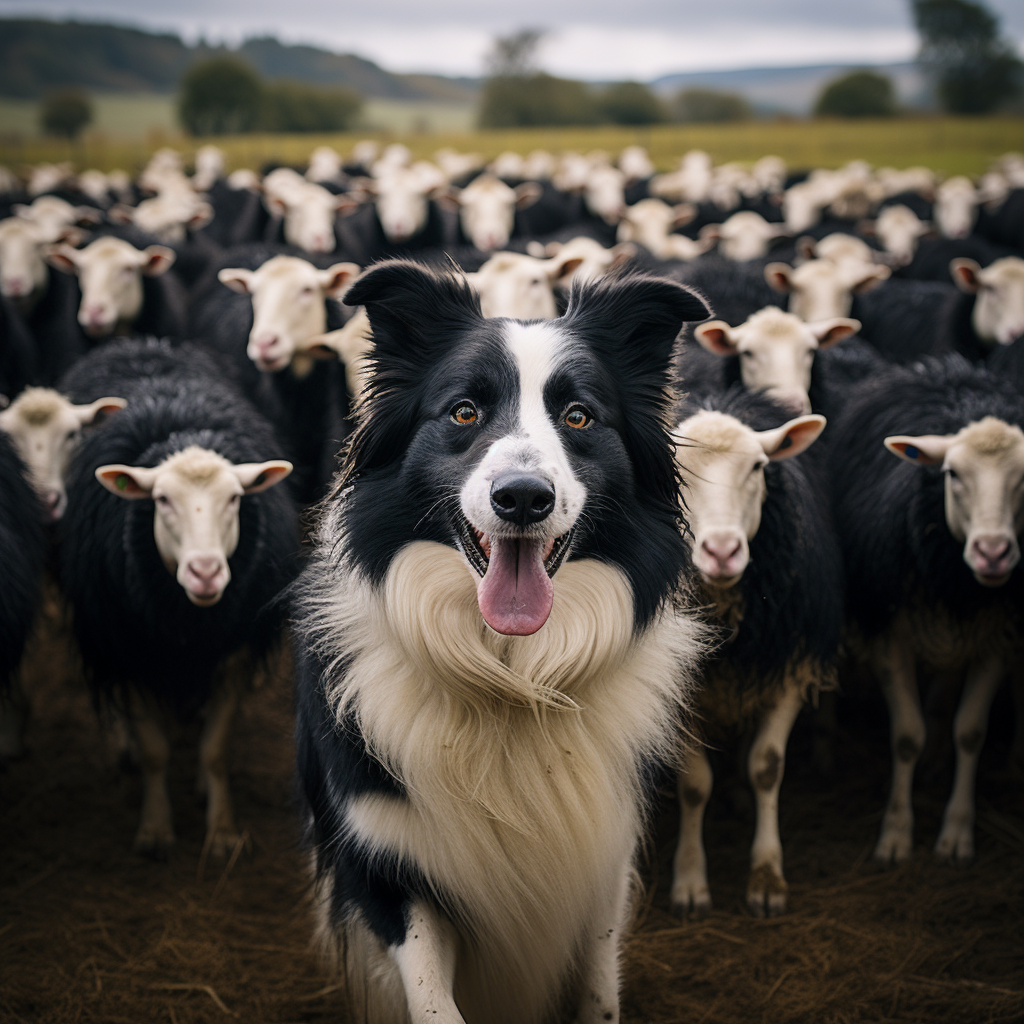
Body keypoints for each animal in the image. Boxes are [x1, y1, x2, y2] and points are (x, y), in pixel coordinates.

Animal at [58, 342, 299, 856]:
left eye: (235, 498)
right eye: (162, 500)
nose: (205, 571)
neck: (190, 621)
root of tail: (141, 343)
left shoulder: (233, 649)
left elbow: (215, 749)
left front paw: (223, 830)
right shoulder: (131, 647)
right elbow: (154, 751)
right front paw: (155, 829)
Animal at [292, 262, 708, 1024]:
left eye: (579, 417)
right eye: (463, 412)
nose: (522, 497)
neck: (509, 677)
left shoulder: (601, 856)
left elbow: (599, 991)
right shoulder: (387, 863)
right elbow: (433, 1000)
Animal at [827, 356, 1024, 868]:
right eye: (952, 474)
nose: (993, 553)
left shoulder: (996, 635)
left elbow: (970, 731)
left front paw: (956, 833)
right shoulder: (886, 632)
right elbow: (907, 735)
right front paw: (896, 834)